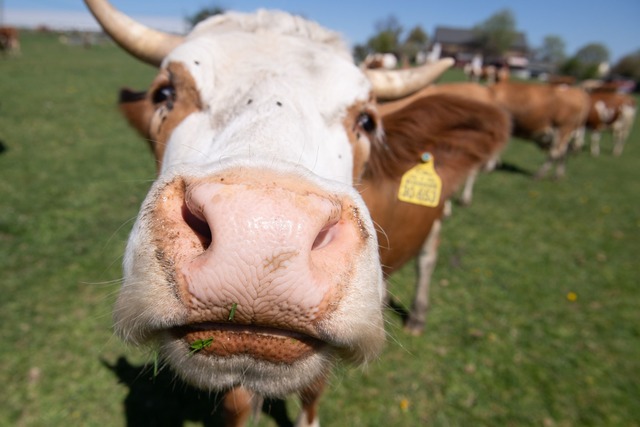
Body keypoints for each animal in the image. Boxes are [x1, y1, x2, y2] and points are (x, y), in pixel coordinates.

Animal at [85, 0, 452, 426]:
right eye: (165, 92)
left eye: (367, 120)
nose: (260, 235)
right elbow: (239, 403)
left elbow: (312, 390)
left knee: (429, 255)